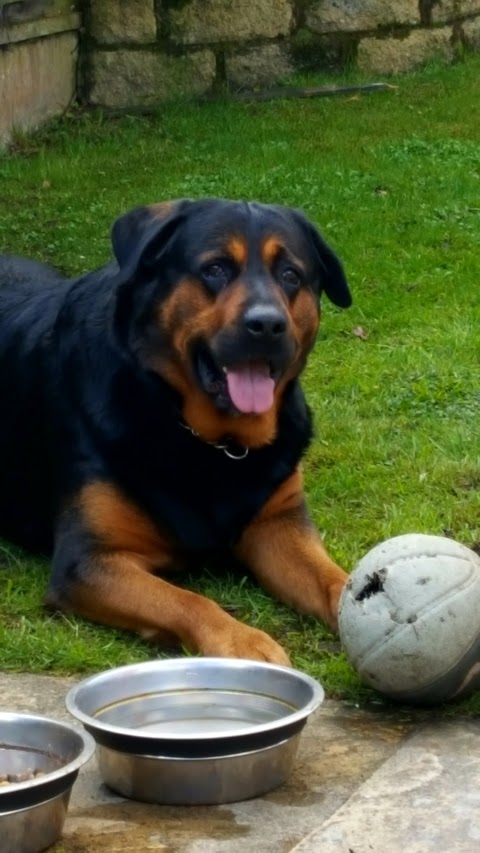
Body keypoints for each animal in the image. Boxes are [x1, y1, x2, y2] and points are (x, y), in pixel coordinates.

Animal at [0, 201, 352, 664]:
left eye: (291, 275)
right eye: (215, 268)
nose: (267, 325)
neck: (217, 442)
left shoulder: (278, 523)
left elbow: (336, 580)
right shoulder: (89, 560)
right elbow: (187, 600)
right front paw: (244, 643)